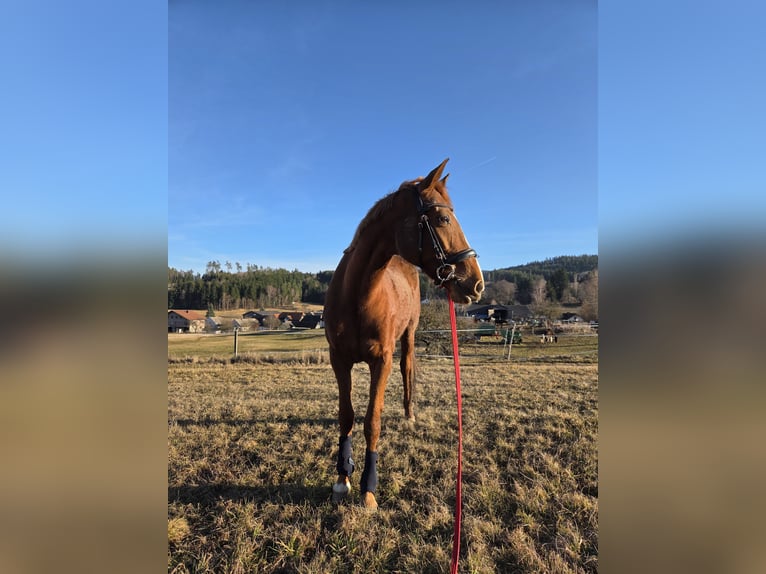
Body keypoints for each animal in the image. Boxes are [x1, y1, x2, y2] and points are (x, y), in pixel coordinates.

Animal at [323, 158, 485, 509]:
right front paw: (343, 478)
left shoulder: (381, 360)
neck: (358, 295)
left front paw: (368, 488)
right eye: (443, 218)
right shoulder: (339, 360)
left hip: (408, 335)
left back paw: (410, 414)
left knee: (407, 366)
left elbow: (372, 420)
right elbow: (347, 416)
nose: (477, 283)